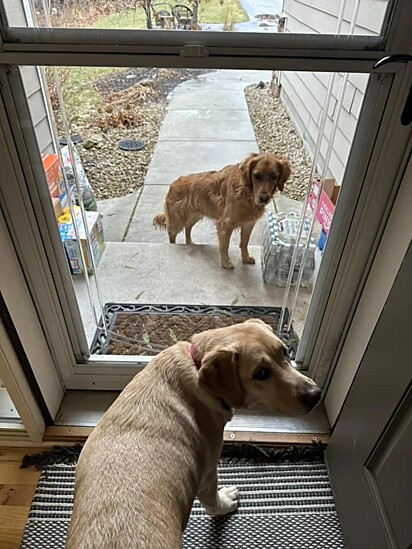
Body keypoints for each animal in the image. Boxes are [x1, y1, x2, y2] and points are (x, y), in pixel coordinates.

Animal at [66, 318, 320, 544]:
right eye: (261, 373)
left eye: (285, 351)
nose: (315, 395)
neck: (196, 365)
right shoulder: (207, 473)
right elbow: (213, 501)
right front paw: (225, 502)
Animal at [153, 153, 292, 268]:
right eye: (256, 176)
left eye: (274, 177)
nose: (264, 198)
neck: (247, 193)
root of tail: (173, 184)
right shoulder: (225, 224)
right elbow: (225, 246)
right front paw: (226, 263)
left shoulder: (248, 224)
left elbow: (244, 243)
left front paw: (246, 258)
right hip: (177, 220)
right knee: (171, 233)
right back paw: (173, 245)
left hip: (196, 215)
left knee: (188, 228)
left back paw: (190, 243)